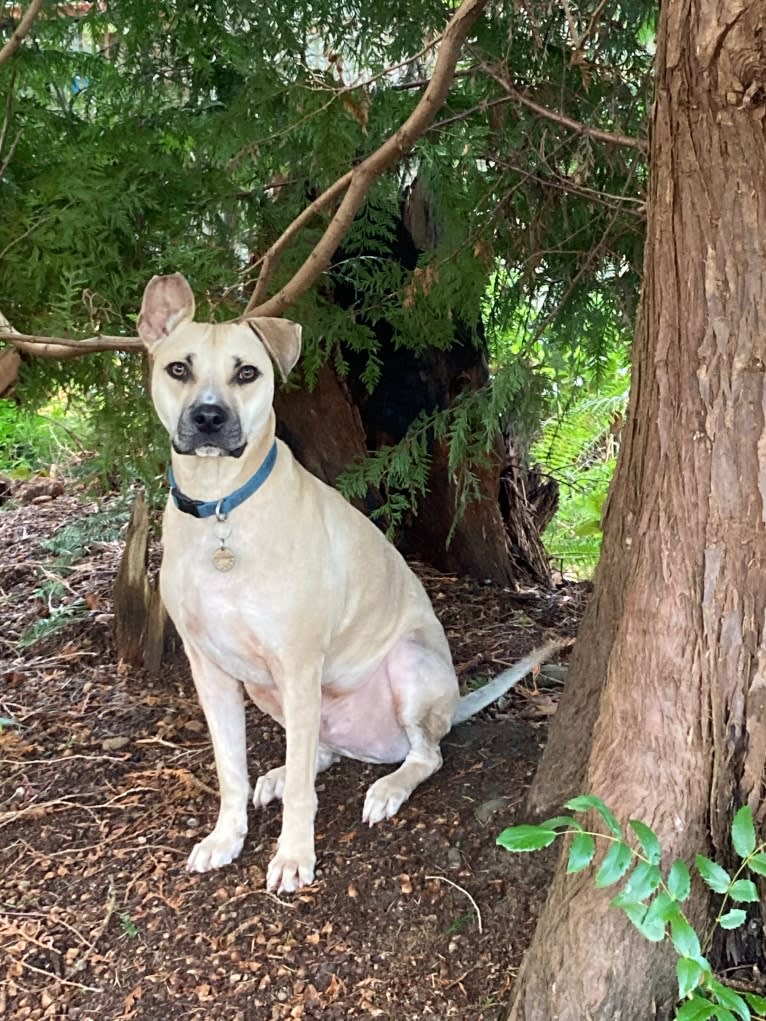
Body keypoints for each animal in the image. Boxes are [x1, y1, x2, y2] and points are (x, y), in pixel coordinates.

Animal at [137, 273, 559, 894]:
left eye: (247, 373)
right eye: (178, 369)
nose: (209, 418)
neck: (222, 507)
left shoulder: (296, 661)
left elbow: (304, 797)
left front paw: (292, 855)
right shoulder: (209, 669)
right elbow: (230, 769)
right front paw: (226, 837)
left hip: (408, 664)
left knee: (425, 756)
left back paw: (387, 787)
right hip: (272, 693)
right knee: (320, 751)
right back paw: (283, 773)